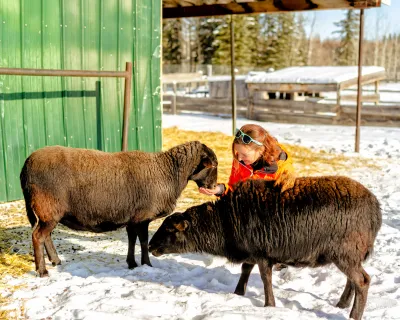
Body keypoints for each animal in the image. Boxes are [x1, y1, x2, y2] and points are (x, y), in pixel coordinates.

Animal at [19, 141, 219, 276]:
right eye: (213, 165)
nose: (214, 187)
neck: (167, 172)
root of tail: (26, 166)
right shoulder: (143, 217)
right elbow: (143, 242)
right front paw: (147, 264)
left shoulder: (133, 217)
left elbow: (132, 240)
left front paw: (132, 263)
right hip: (48, 208)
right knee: (38, 236)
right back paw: (42, 271)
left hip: (48, 212)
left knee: (45, 236)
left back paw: (55, 260)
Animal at [149, 176, 382, 318]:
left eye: (169, 229)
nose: (150, 245)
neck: (224, 221)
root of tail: (375, 209)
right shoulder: (252, 252)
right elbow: (245, 269)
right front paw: (238, 293)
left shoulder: (262, 253)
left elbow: (265, 278)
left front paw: (269, 305)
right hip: (349, 254)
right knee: (352, 280)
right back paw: (342, 305)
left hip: (345, 252)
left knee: (362, 281)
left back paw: (353, 315)